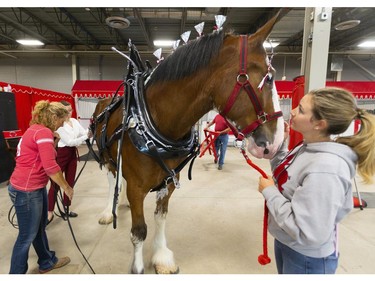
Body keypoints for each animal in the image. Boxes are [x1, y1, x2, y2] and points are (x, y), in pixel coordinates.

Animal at [92, 12, 284, 272]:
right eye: (269, 77)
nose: (278, 141)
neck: (155, 120)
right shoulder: (137, 187)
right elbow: (139, 230)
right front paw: (138, 267)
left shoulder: (169, 181)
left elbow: (160, 217)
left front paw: (161, 256)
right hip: (106, 159)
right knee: (113, 180)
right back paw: (107, 211)